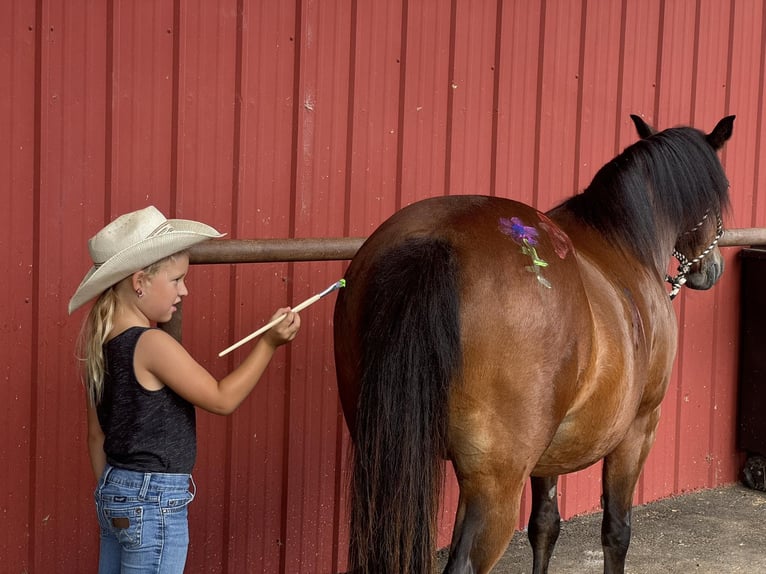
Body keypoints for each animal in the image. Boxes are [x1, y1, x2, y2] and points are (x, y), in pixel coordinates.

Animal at [332, 113, 736, 574]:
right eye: (716, 199)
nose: (712, 269)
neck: (624, 241)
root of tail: (437, 241)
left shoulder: (551, 451)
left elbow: (545, 525)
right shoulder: (639, 429)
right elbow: (617, 530)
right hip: (496, 483)